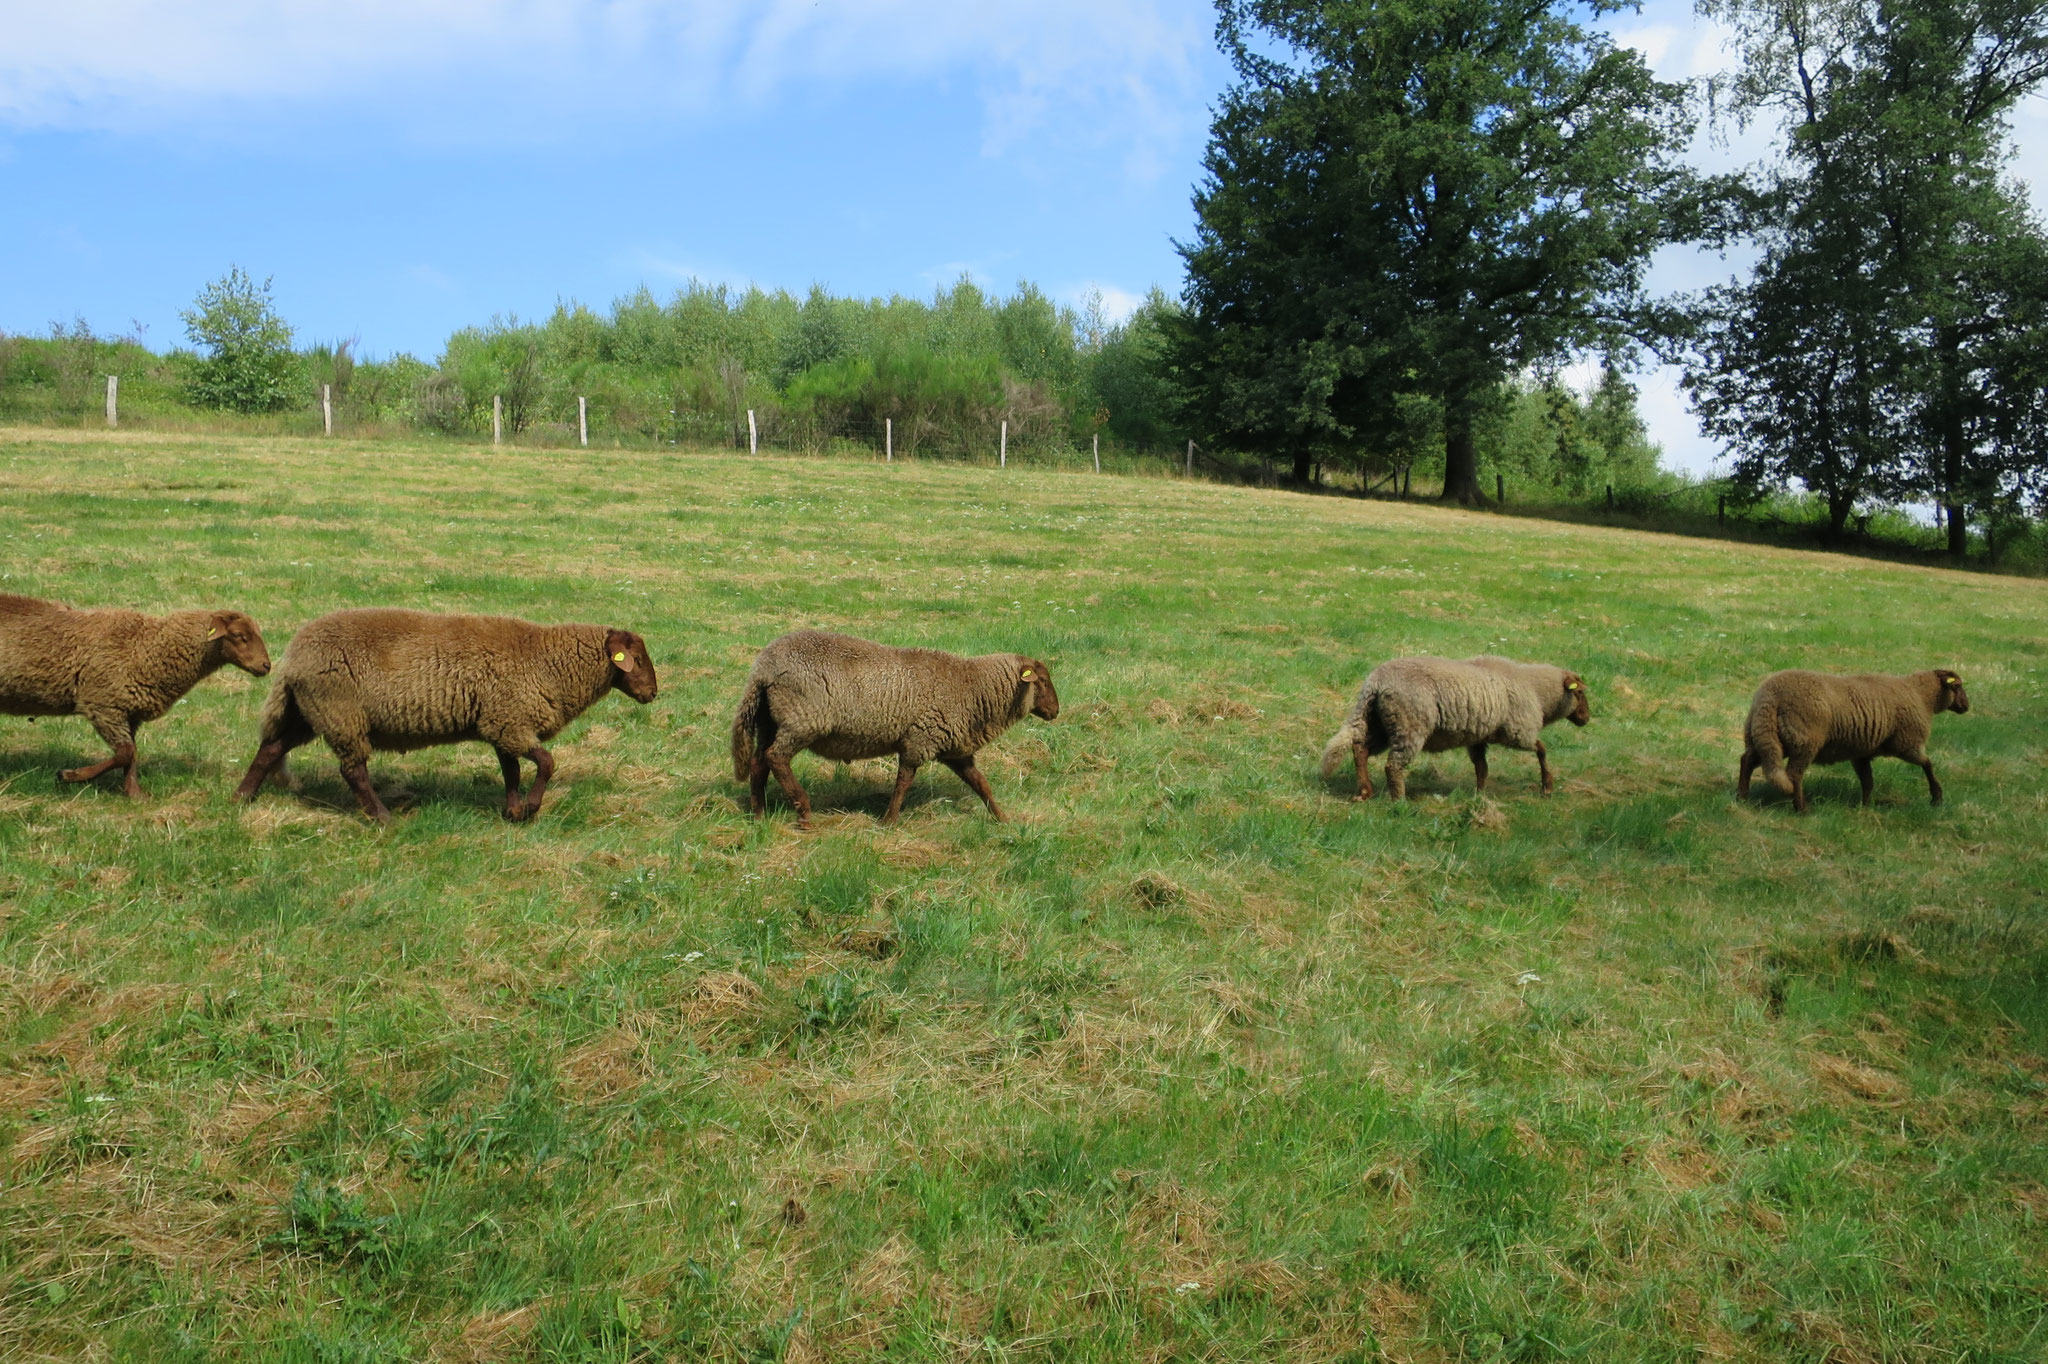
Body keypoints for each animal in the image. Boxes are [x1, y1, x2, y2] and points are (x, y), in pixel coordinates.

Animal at [0, 585, 272, 798]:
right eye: (238, 635)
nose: (266, 666)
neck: (145, 648)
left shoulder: (129, 711)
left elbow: (131, 755)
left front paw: (134, 795)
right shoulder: (104, 705)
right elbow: (125, 753)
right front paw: (69, 775)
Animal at [236, 606, 659, 823]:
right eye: (636, 660)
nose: (653, 693)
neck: (548, 662)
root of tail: (294, 655)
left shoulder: (500, 723)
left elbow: (512, 772)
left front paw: (512, 811)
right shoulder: (512, 721)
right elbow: (547, 763)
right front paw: (530, 809)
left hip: (307, 712)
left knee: (270, 750)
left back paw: (241, 798)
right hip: (340, 713)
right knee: (353, 771)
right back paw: (383, 819)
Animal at [733, 630, 1056, 827]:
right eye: (1041, 680)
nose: (1056, 711)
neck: (971, 687)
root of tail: (763, 668)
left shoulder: (954, 750)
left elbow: (981, 784)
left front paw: (1002, 818)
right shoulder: (919, 740)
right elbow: (903, 782)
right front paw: (889, 821)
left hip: (769, 721)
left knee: (759, 761)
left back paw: (759, 814)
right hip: (801, 719)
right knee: (776, 758)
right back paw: (803, 811)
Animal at [1318, 651, 1589, 798]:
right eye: (1580, 693)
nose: (1586, 719)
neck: (1536, 690)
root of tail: (1375, 681)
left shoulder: (1479, 738)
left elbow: (1482, 768)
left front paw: (1480, 796)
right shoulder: (1519, 730)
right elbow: (1542, 749)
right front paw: (1547, 786)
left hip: (1381, 723)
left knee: (1360, 748)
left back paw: (1365, 792)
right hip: (1409, 725)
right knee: (1392, 765)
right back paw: (1399, 800)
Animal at [1744, 667, 1966, 806]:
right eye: (1957, 686)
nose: (1966, 706)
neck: (1921, 696)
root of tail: (1770, 695)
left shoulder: (1861, 753)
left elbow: (1868, 782)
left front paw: (1865, 807)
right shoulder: (1907, 743)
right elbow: (1928, 764)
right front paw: (1937, 797)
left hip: (1764, 735)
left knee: (1747, 760)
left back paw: (1742, 796)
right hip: (1803, 740)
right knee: (1794, 775)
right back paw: (1801, 809)